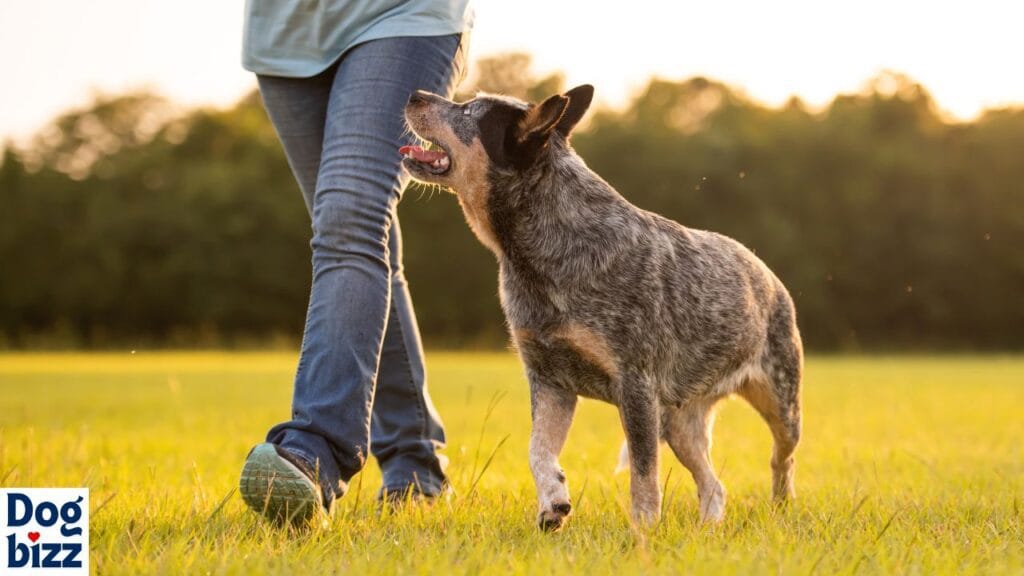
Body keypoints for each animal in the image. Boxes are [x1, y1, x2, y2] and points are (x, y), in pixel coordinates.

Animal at [397, 84, 798, 528]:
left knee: (781, 459)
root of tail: (766, 272)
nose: (415, 93)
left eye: (469, 111)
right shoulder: (550, 380)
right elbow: (537, 451)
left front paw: (644, 533)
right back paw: (708, 528)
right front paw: (553, 503)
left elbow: (644, 474)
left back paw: (781, 508)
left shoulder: (635, 384)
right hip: (678, 421)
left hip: (781, 402)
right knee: (714, 484)